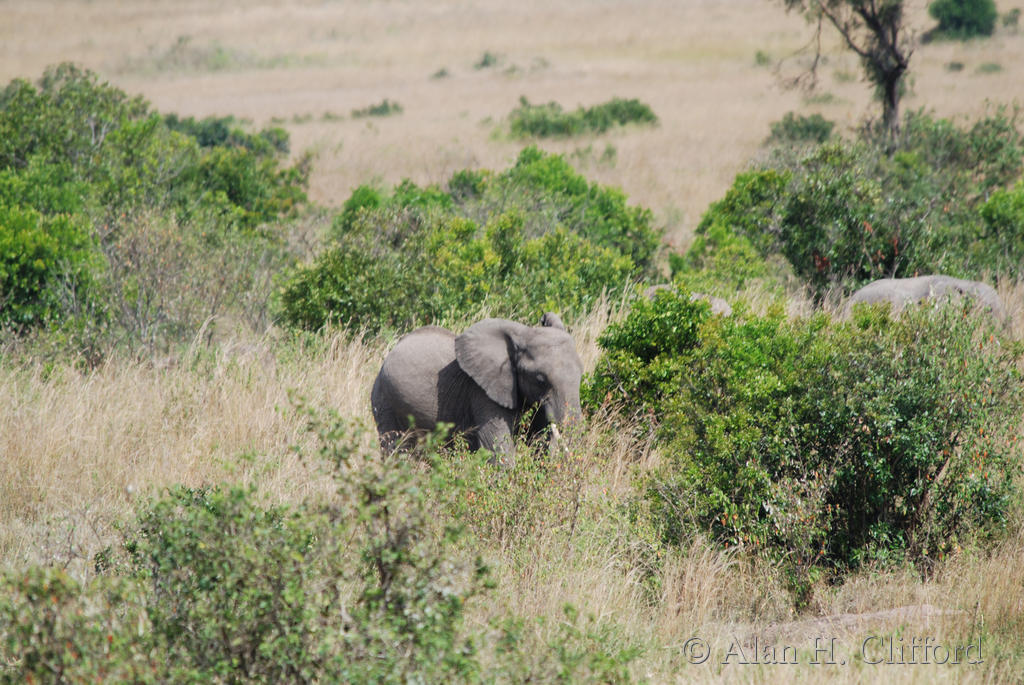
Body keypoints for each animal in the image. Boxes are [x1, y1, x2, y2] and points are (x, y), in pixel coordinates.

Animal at [370, 313, 584, 465]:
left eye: (581, 375)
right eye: (540, 379)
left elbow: (540, 439)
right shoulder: (481, 391)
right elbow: (497, 446)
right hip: (384, 400)